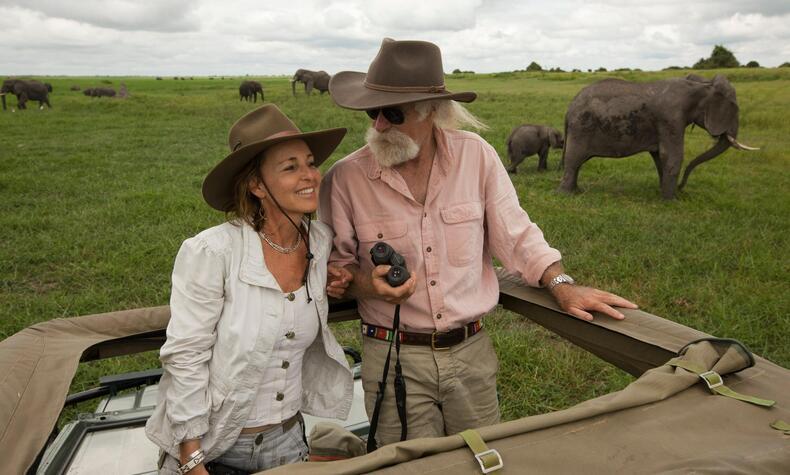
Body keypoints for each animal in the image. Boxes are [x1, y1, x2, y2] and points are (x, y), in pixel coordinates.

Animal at [564, 74, 760, 199]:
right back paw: (567, 194)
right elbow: (672, 155)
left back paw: (576, 191)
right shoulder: (671, 118)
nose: (682, 188)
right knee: (573, 160)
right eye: (734, 107)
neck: (701, 84)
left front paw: (663, 192)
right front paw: (670, 200)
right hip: (581, 128)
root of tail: (570, 107)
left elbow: (660, 156)